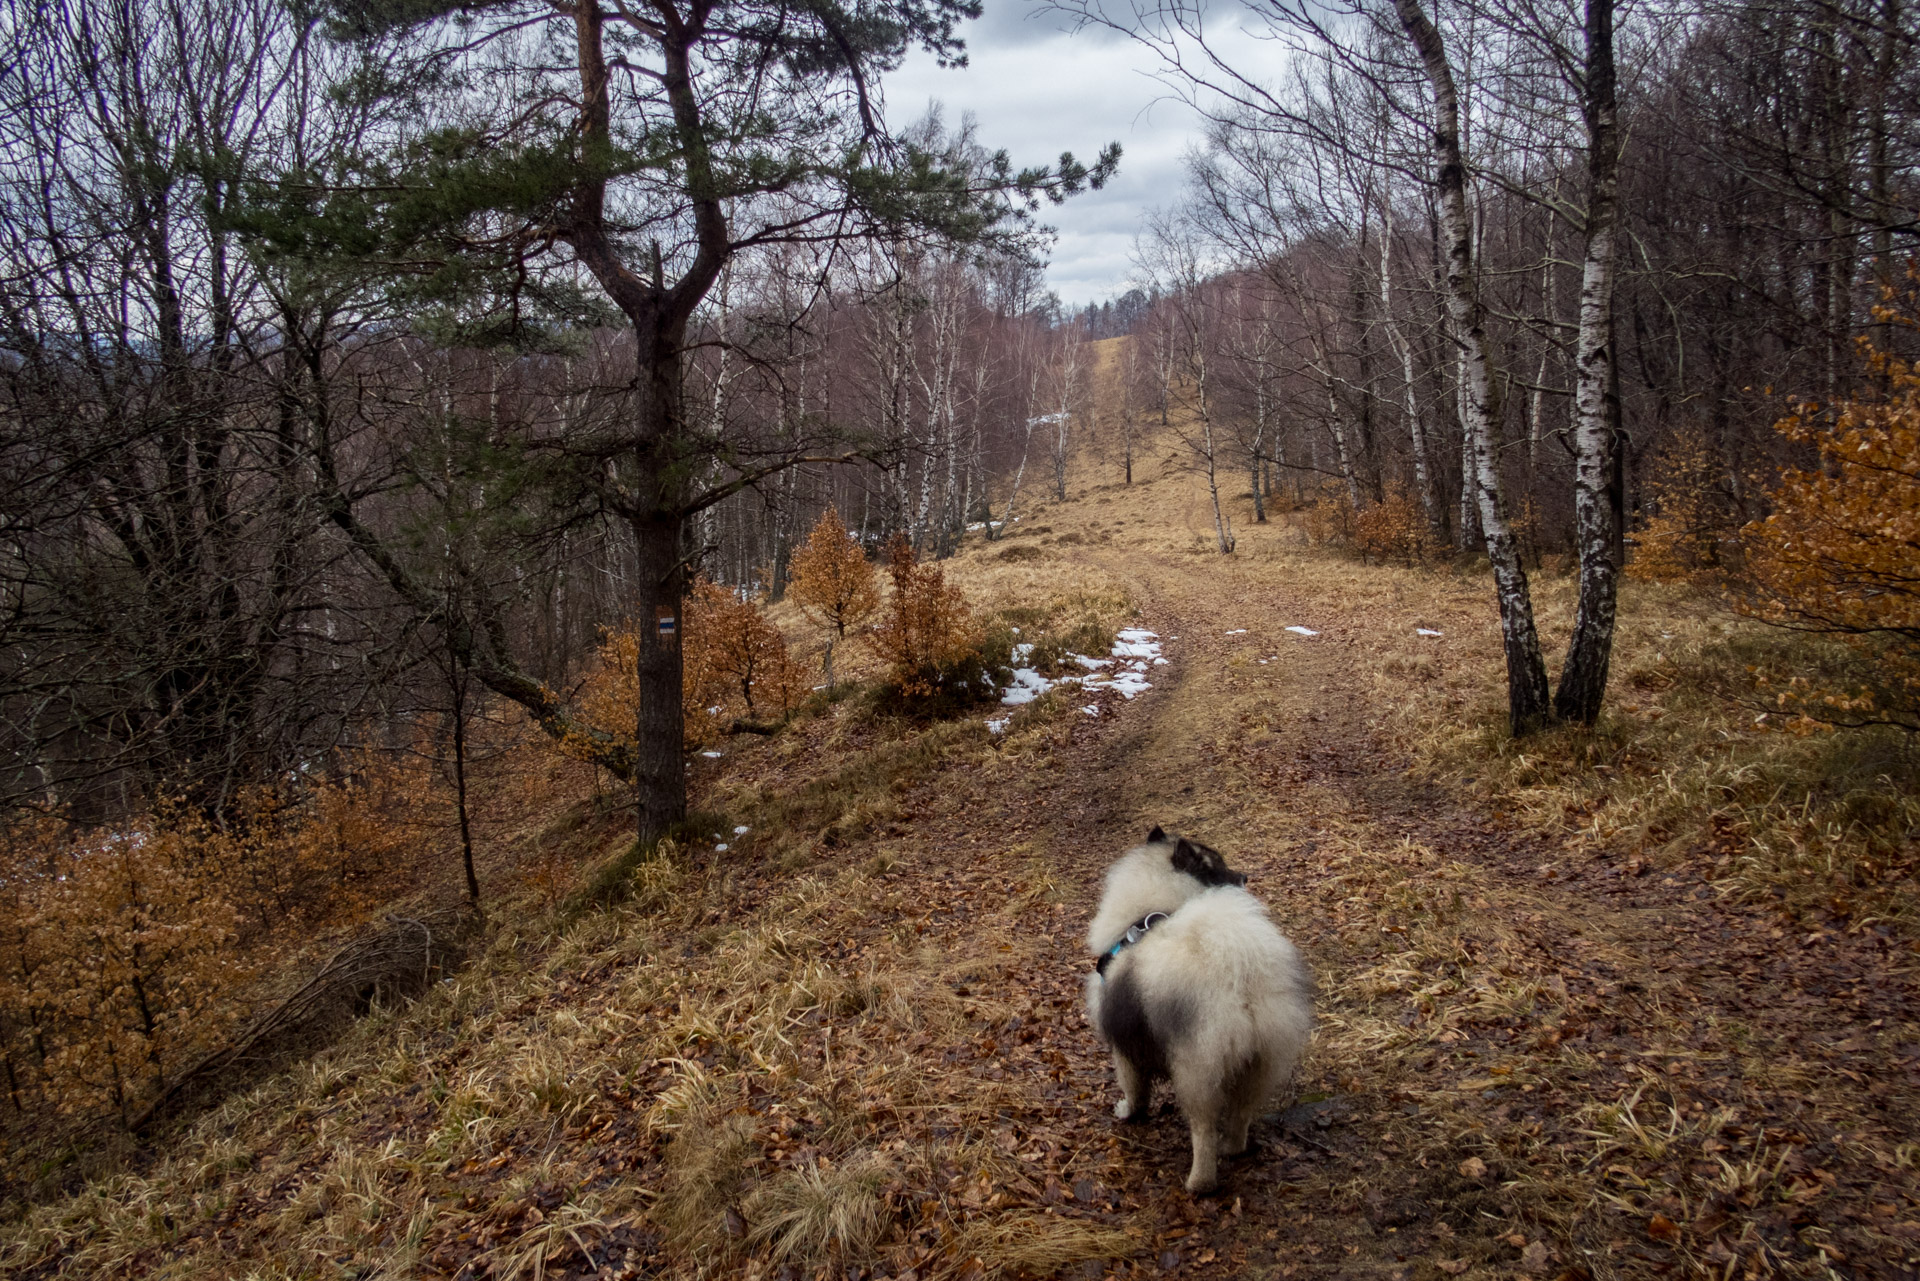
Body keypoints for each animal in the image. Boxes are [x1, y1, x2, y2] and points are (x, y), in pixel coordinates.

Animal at [1090, 833, 1313, 1190]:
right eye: (1217, 866)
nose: (1244, 877)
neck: (1145, 915)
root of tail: (1240, 985)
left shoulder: (1123, 1047)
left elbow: (1133, 1088)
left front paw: (1128, 1112)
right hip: (1258, 1065)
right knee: (1240, 1115)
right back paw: (1232, 1148)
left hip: (1196, 1072)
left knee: (1203, 1131)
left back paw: (1199, 1183)